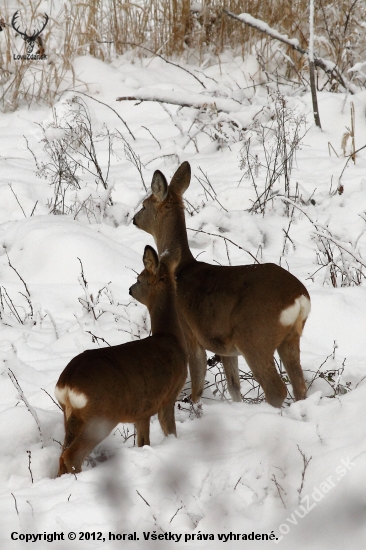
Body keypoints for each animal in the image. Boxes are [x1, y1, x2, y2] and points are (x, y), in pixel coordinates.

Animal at [54, 246, 187, 478]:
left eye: (139, 279)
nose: (130, 289)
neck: (170, 337)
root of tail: (67, 383)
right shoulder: (169, 396)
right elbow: (171, 432)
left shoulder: (142, 412)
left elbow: (143, 442)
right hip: (101, 416)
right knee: (71, 455)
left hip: (69, 414)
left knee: (62, 455)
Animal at [133, 162, 310, 408]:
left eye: (144, 204)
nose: (133, 218)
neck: (180, 269)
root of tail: (299, 297)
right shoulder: (226, 349)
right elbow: (233, 387)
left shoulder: (189, 332)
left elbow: (197, 383)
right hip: (290, 338)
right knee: (300, 386)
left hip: (255, 338)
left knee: (277, 389)